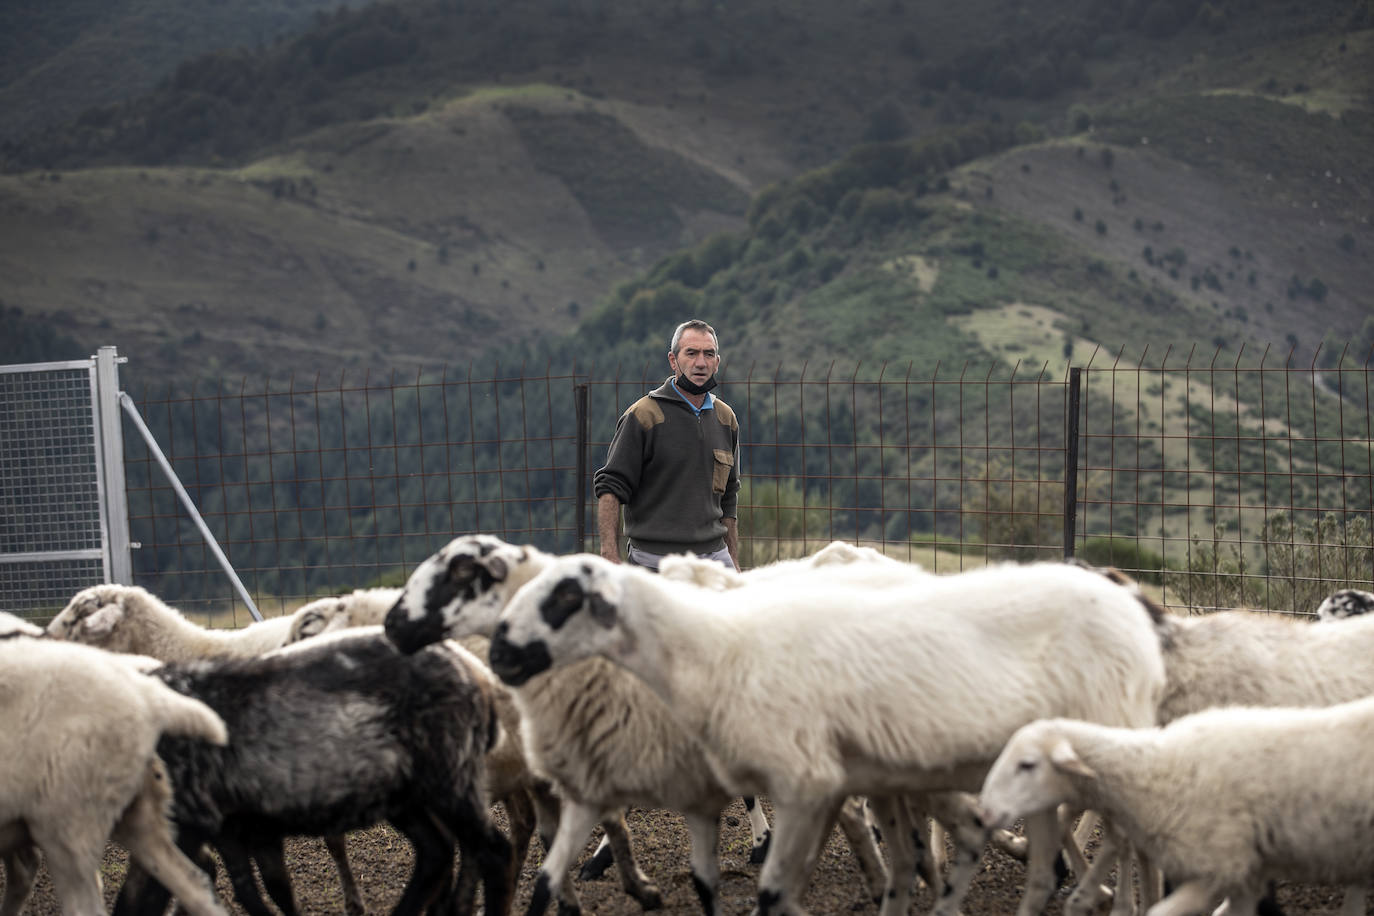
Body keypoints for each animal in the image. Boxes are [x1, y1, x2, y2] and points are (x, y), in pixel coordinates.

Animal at [111, 626, 511, 916]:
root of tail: (478, 676)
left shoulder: (188, 822)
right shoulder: (234, 829)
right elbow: (255, 889)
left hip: (449, 776)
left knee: (494, 852)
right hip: (406, 794)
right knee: (437, 852)